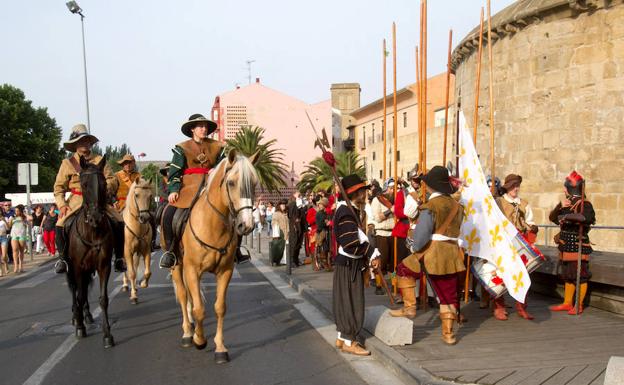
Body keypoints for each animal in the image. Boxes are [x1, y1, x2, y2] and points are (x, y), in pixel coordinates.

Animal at [172, 149, 258, 364]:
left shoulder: (225, 271)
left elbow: (219, 307)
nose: (246, 225)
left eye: (254, 183)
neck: (212, 224)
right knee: (183, 294)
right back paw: (188, 332)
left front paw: (220, 347)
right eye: (231, 182)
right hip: (177, 265)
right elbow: (200, 309)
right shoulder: (192, 270)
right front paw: (199, 340)